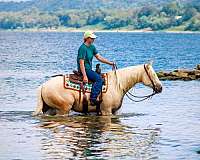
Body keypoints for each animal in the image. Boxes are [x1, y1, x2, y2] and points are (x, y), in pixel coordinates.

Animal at [32, 62, 162, 116]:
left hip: (50, 108)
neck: (117, 84)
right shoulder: (106, 110)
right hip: (63, 109)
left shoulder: (114, 111)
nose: (160, 88)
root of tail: (43, 85)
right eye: (153, 74)